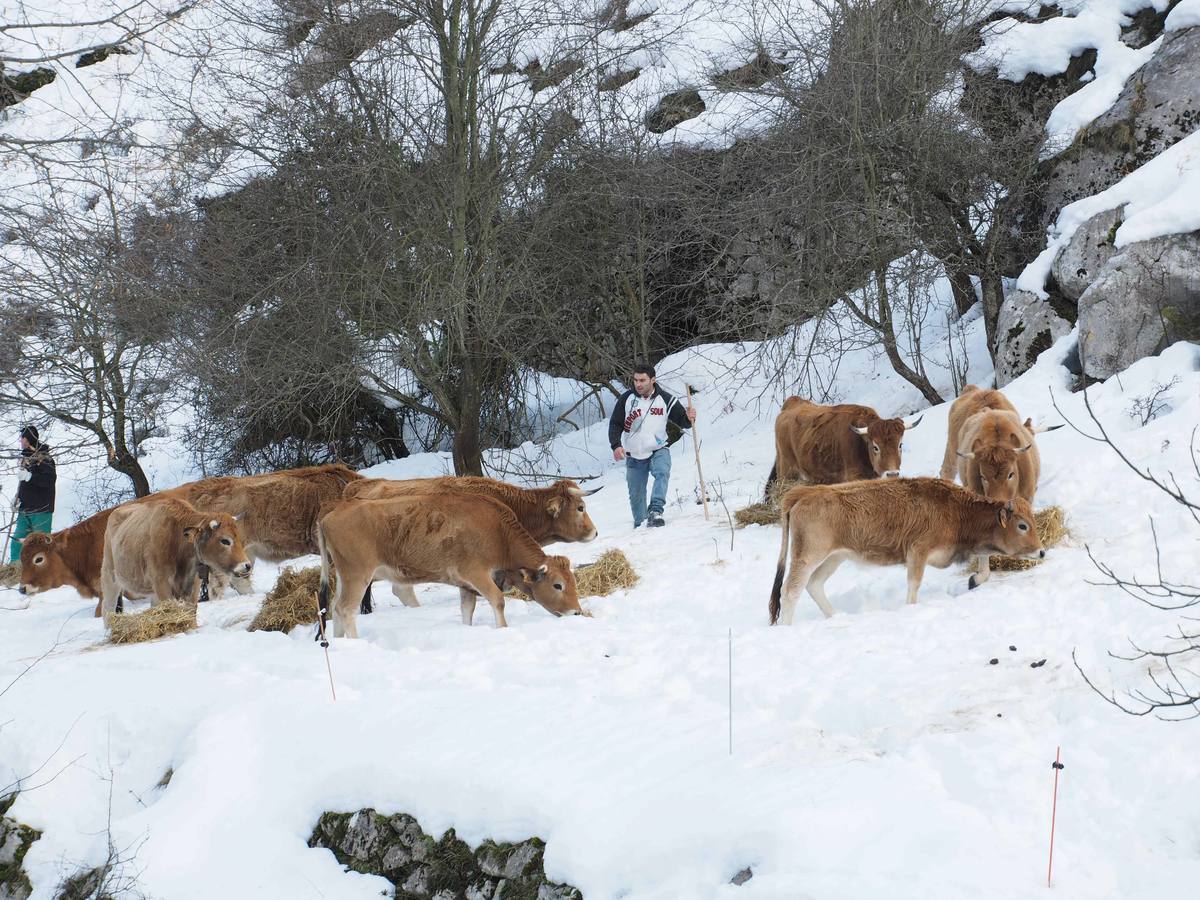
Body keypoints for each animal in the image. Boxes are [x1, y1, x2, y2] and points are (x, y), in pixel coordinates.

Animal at [100, 501, 253, 619]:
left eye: (239, 538)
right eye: (225, 541)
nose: (247, 565)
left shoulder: (193, 582)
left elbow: (191, 609)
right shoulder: (161, 582)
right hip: (110, 575)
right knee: (108, 608)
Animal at [316, 494, 583, 643]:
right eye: (557, 585)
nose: (577, 613)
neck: (499, 533)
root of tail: (335, 509)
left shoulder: (466, 585)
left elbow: (467, 610)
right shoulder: (476, 573)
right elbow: (498, 601)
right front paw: (503, 630)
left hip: (343, 575)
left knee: (335, 608)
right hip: (358, 575)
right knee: (345, 609)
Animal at [768, 480, 1041, 628]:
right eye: (1022, 525)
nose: (1041, 551)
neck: (956, 511)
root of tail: (803, 493)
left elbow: (984, 561)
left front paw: (974, 580)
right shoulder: (917, 553)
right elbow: (914, 585)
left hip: (834, 557)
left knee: (813, 585)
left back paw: (836, 616)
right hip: (808, 557)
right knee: (790, 590)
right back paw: (787, 627)